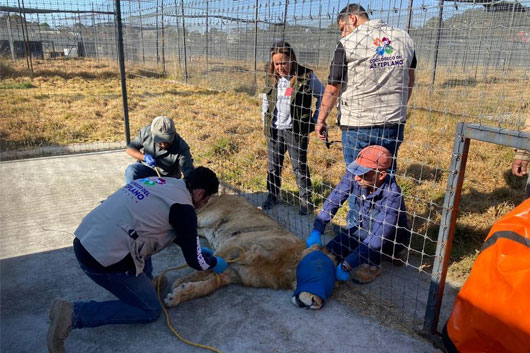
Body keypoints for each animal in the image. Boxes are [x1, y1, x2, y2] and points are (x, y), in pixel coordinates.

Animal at [163, 194, 334, 310]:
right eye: (320, 269)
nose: (317, 303)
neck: (285, 267)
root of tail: (220, 194)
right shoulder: (234, 244)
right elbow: (205, 268)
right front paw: (181, 282)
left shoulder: (233, 274)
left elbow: (206, 286)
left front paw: (178, 295)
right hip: (202, 217)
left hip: (201, 228)